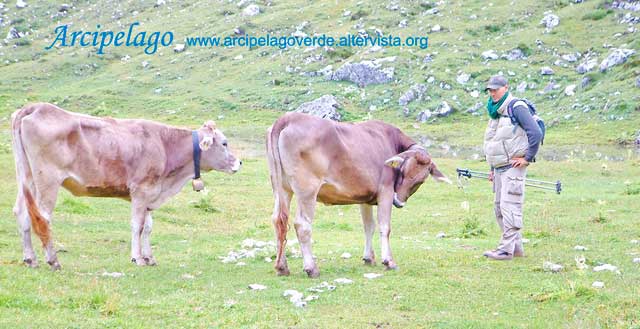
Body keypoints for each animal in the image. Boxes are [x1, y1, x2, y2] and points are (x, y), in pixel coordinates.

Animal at [11, 102, 241, 270]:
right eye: (224, 143)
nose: (239, 162)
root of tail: (36, 107)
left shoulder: (150, 194)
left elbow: (148, 227)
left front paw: (149, 257)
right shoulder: (141, 190)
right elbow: (137, 225)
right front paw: (137, 258)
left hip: (26, 177)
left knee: (22, 212)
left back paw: (30, 259)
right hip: (48, 179)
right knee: (42, 216)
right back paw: (53, 259)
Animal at [264, 113, 450, 276]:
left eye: (420, 180)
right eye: (403, 171)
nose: (398, 202)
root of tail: (288, 118)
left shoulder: (365, 198)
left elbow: (369, 226)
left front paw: (369, 258)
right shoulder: (386, 191)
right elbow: (385, 227)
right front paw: (388, 261)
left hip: (281, 188)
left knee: (278, 221)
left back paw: (282, 267)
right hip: (307, 190)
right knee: (302, 224)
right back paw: (311, 268)